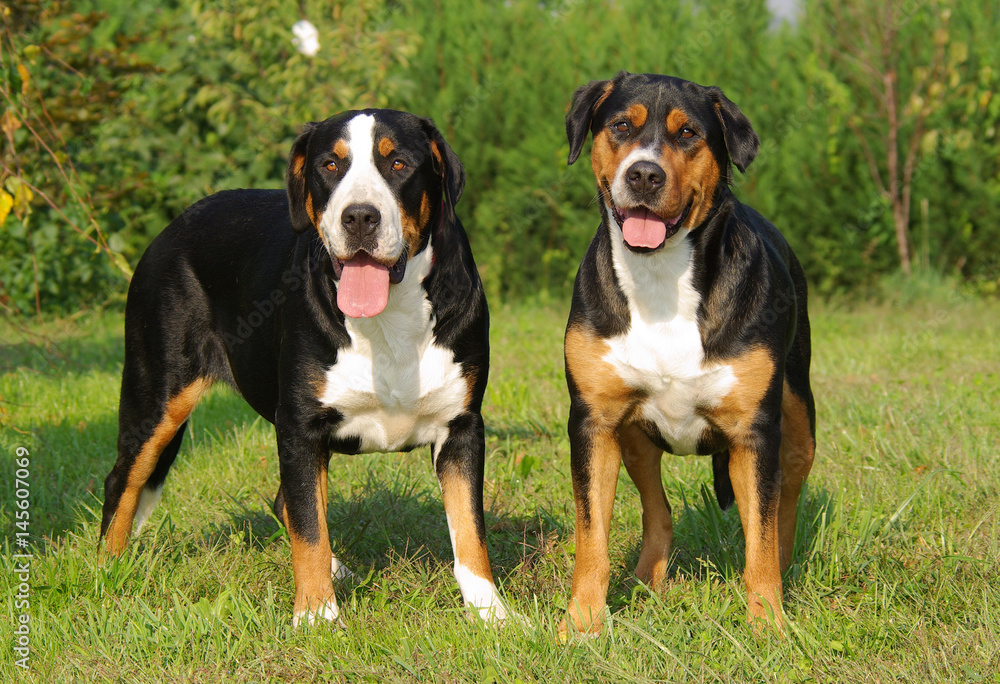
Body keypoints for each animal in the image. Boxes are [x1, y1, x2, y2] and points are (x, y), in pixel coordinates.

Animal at [99, 109, 508, 628]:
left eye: (398, 163)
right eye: (330, 165)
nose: (359, 216)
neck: (389, 320)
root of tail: (174, 225)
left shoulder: (462, 428)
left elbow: (469, 530)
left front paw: (493, 614)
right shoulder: (298, 425)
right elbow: (310, 529)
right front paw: (317, 617)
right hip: (158, 395)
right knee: (124, 480)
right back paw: (106, 572)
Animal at [564, 72, 812, 632]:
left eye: (688, 134)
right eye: (621, 126)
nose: (644, 175)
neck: (660, 277)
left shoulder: (754, 432)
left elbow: (761, 535)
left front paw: (768, 624)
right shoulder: (593, 423)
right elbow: (591, 537)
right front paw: (581, 624)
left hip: (799, 417)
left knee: (784, 506)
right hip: (634, 436)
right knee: (659, 512)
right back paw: (645, 580)